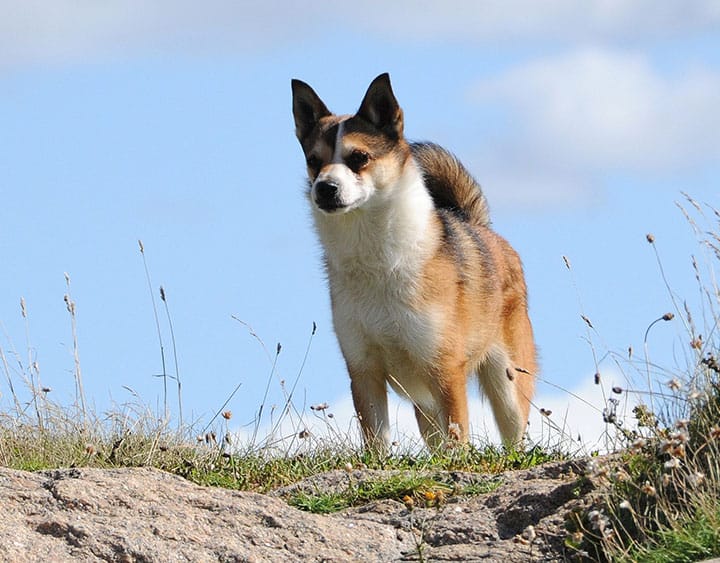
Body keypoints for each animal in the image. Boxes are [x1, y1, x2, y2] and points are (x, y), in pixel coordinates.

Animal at [292, 74, 536, 454]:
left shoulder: (445, 370)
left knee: (513, 432)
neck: (376, 258)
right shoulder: (364, 370)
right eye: (314, 161)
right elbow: (376, 437)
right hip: (424, 403)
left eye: (359, 157)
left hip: (507, 381)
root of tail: (476, 224)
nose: (325, 188)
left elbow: (458, 436)